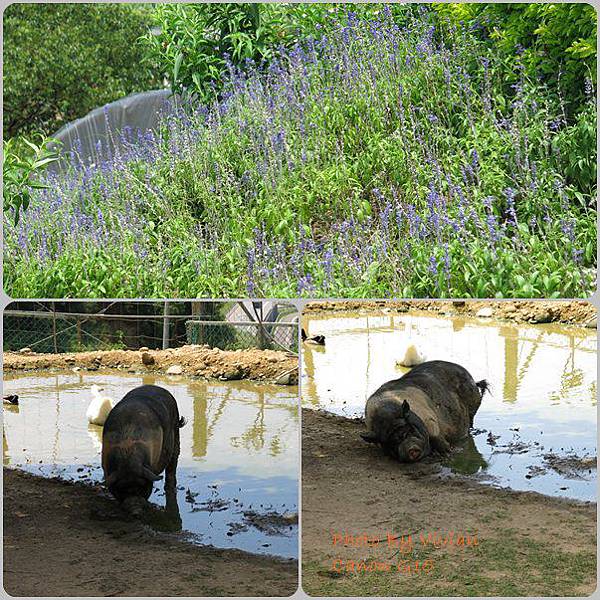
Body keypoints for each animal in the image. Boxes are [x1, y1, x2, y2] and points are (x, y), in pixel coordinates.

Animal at [360, 360, 488, 464]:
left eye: (408, 430)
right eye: (390, 442)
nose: (409, 449)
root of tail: (473, 380)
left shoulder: (429, 417)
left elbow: (435, 435)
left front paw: (448, 452)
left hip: (473, 404)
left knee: (470, 421)